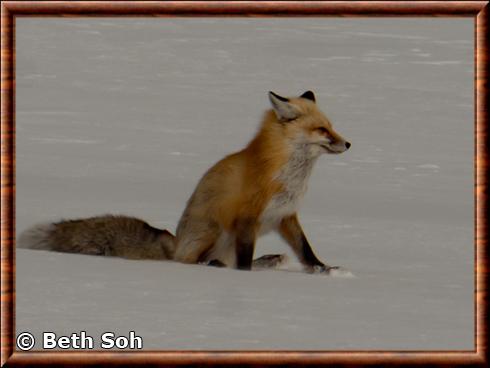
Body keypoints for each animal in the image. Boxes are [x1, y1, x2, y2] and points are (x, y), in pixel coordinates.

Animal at [18, 90, 348, 272]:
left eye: (332, 126)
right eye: (322, 130)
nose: (348, 144)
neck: (288, 174)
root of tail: (173, 243)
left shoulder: (285, 215)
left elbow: (306, 250)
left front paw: (324, 269)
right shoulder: (247, 218)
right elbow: (243, 263)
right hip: (215, 230)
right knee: (197, 261)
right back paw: (213, 264)